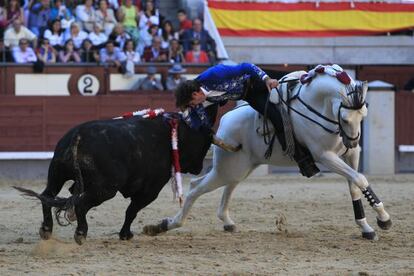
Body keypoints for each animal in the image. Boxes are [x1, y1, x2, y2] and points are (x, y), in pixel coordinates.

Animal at [14, 104, 218, 245]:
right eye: (206, 140)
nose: (200, 167)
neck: (174, 134)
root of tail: (78, 135)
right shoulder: (151, 190)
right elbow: (132, 211)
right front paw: (125, 234)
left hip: (57, 173)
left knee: (47, 196)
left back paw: (46, 229)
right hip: (105, 190)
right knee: (81, 204)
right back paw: (81, 233)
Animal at [145, 69, 392, 239]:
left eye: (364, 114)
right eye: (346, 118)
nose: (352, 140)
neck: (317, 105)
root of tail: (224, 123)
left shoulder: (352, 154)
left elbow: (356, 184)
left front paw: (369, 226)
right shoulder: (325, 156)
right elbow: (360, 179)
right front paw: (383, 219)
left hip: (238, 168)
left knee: (226, 188)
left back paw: (226, 222)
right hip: (228, 169)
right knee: (197, 187)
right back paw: (165, 225)